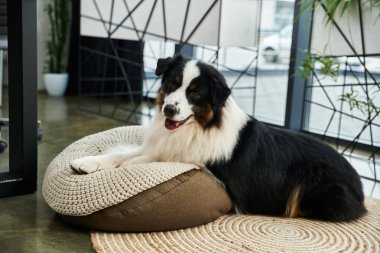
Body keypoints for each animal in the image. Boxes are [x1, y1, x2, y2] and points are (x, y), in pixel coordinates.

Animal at [70, 53, 366, 221]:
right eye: (172, 83)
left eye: (196, 93)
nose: (169, 109)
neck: (200, 126)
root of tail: (360, 186)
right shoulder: (158, 146)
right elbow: (122, 153)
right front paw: (87, 162)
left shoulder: (196, 161)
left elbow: (139, 161)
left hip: (310, 183)